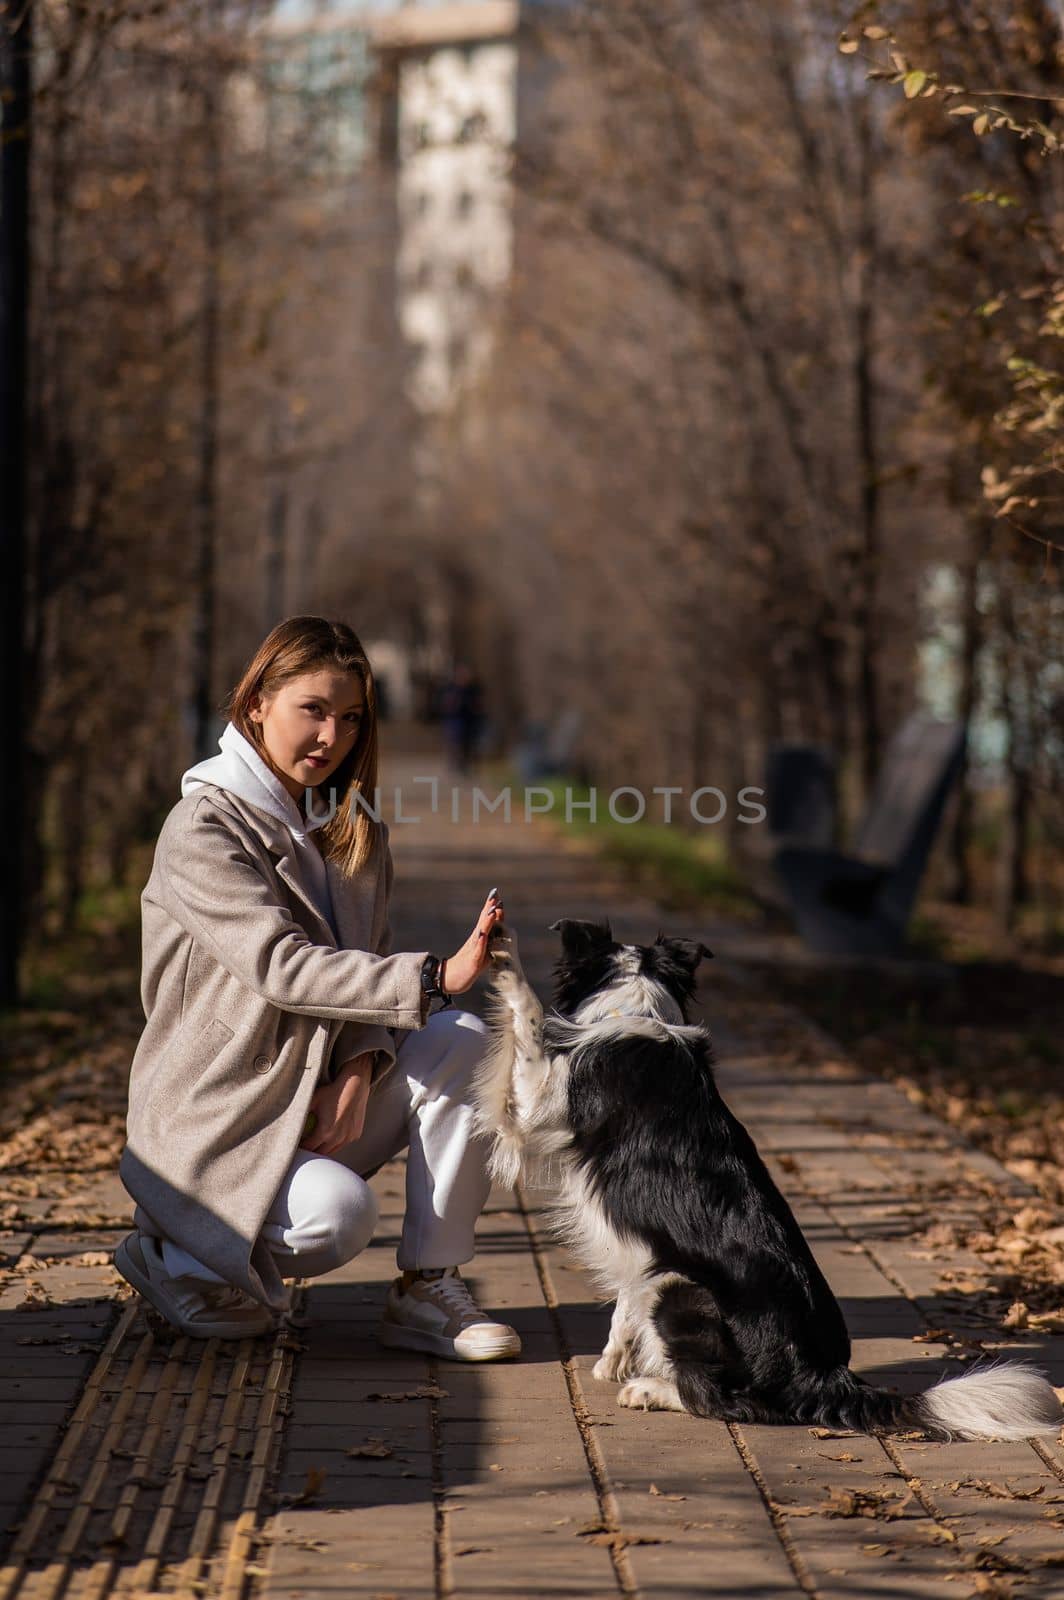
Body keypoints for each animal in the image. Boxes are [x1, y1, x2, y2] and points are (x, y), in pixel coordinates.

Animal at [473, 921, 1062, 1446]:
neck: (636, 1006)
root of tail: (823, 1377)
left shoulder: (539, 1106)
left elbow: (528, 1019)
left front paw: (504, 958)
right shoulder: (643, 1250)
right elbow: (623, 1301)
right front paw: (611, 1359)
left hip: (678, 1285)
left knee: (722, 1399)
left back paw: (652, 1390)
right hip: (667, 1273)